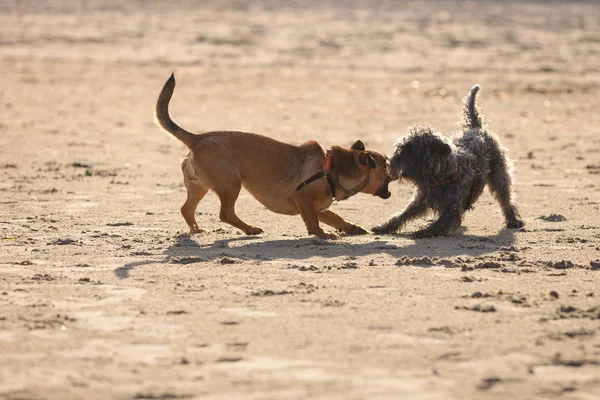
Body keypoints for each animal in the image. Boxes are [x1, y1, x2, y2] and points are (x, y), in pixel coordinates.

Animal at [155, 74, 392, 239]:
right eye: (386, 171)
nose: (391, 190)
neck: (330, 169)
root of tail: (197, 139)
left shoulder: (318, 207)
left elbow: (335, 217)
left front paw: (351, 227)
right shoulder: (303, 199)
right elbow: (314, 223)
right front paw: (323, 235)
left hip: (200, 187)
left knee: (187, 209)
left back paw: (197, 230)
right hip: (230, 184)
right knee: (225, 213)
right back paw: (250, 229)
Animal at [372, 83, 524, 236]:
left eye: (410, 150)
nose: (389, 163)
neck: (439, 175)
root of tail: (477, 128)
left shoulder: (451, 209)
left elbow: (439, 224)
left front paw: (422, 232)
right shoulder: (421, 200)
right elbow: (403, 215)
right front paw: (384, 226)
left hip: (499, 175)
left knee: (506, 199)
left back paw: (513, 220)